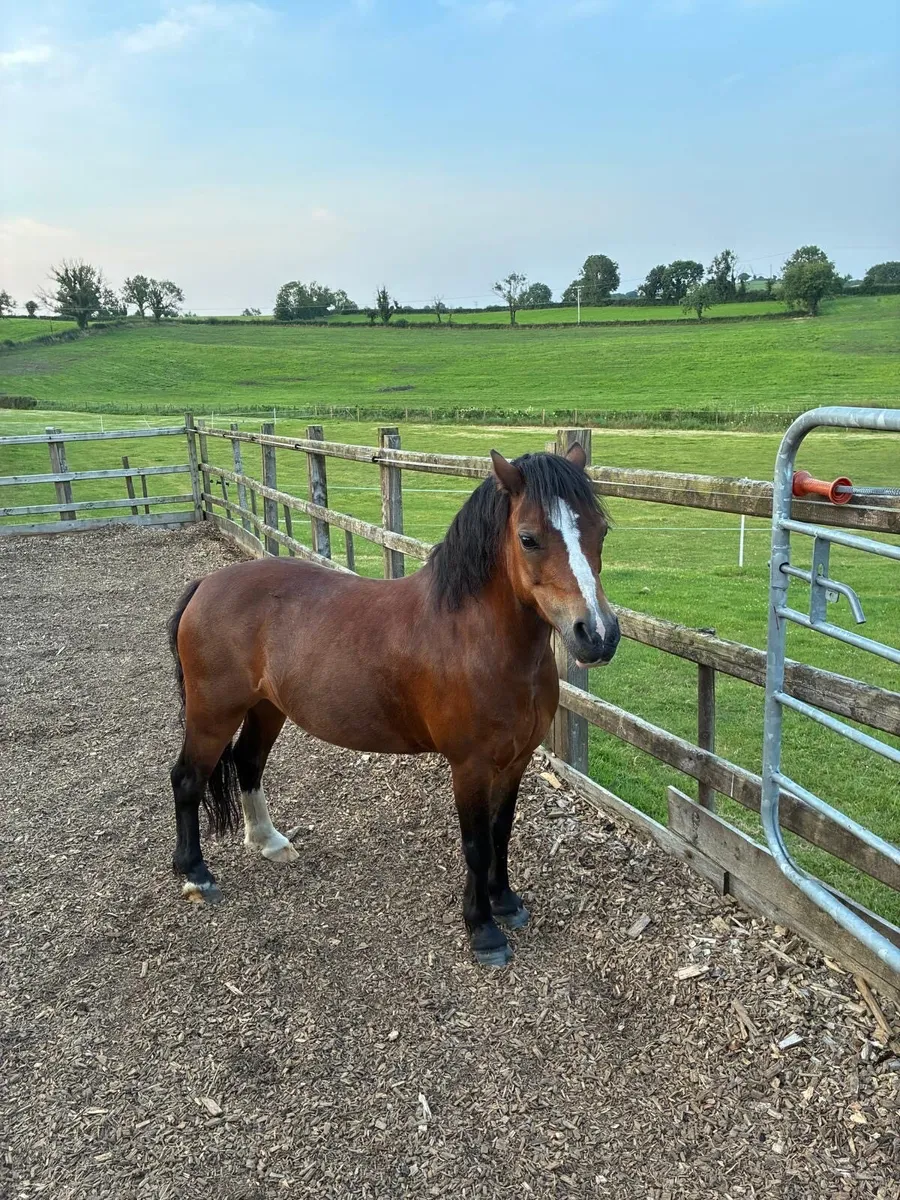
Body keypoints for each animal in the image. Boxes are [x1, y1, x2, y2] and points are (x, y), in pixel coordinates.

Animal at [167, 444, 619, 966]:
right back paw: (195, 873)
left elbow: (501, 832)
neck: (475, 638)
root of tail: (206, 584)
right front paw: (483, 929)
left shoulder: (516, 761)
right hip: (213, 713)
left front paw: (505, 902)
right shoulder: (470, 766)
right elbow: (477, 844)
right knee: (188, 778)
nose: (598, 635)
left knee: (247, 762)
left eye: (601, 530)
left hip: (266, 708)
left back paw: (269, 842)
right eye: (528, 538)